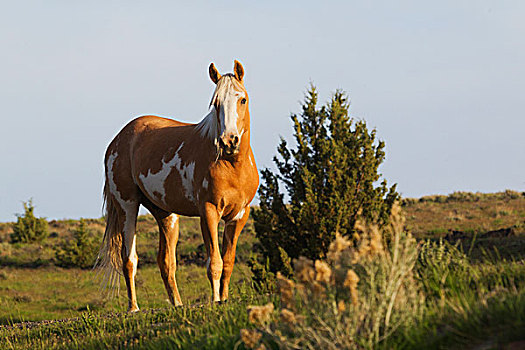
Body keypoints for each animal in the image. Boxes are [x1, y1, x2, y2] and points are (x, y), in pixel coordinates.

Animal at [97, 60, 258, 312]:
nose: (228, 141)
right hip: (127, 206)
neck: (232, 166)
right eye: (216, 104)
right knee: (129, 259)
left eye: (242, 99)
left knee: (166, 262)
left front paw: (224, 299)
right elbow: (215, 262)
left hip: (166, 214)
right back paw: (133, 308)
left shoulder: (239, 216)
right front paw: (215, 301)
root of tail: (119, 139)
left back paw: (177, 305)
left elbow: (228, 262)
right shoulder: (208, 212)